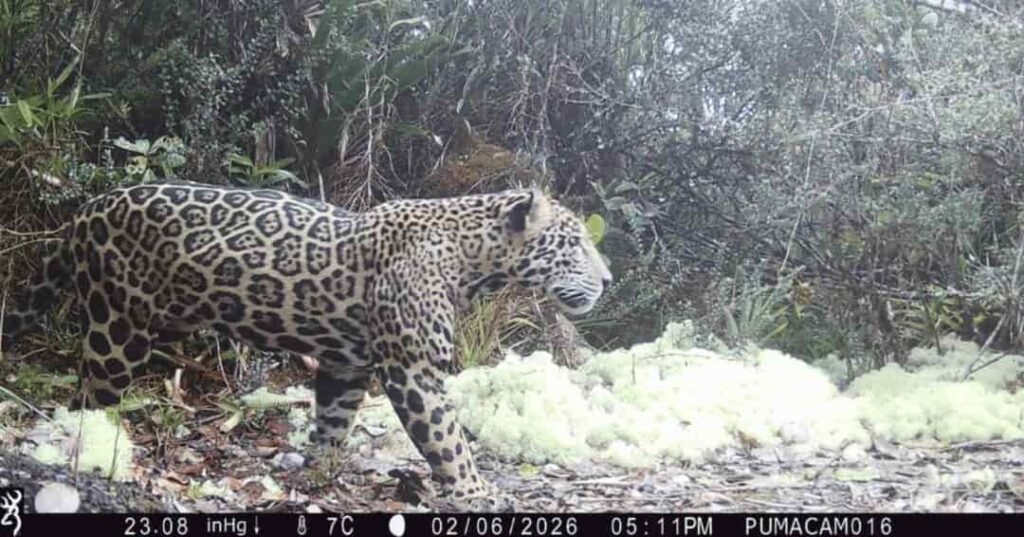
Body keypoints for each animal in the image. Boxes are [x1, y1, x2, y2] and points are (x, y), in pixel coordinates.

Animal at [0, 181, 612, 501]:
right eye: (574, 243)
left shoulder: (347, 365)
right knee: (89, 398)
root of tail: (87, 209)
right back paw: (96, 453)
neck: (473, 262)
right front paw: (475, 493)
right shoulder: (413, 370)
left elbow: (334, 422)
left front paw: (319, 471)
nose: (608, 280)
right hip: (118, 327)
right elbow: (448, 441)